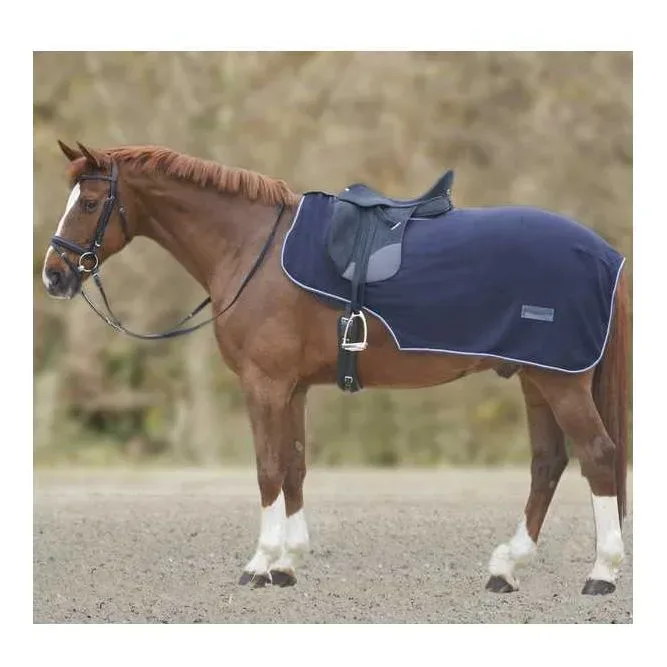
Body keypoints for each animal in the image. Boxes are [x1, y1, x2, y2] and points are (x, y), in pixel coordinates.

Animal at [41, 141, 630, 596]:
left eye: (89, 202)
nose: (53, 275)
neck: (251, 248)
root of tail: (604, 253)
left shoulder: (264, 385)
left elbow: (268, 469)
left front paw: (260, 562)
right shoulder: (294, 388)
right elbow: (295, 467)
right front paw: (287, 564)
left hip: (560, 381)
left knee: (598, 456)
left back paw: (602, 573)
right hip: (535, 377)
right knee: (548, 464)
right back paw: (507, 568)